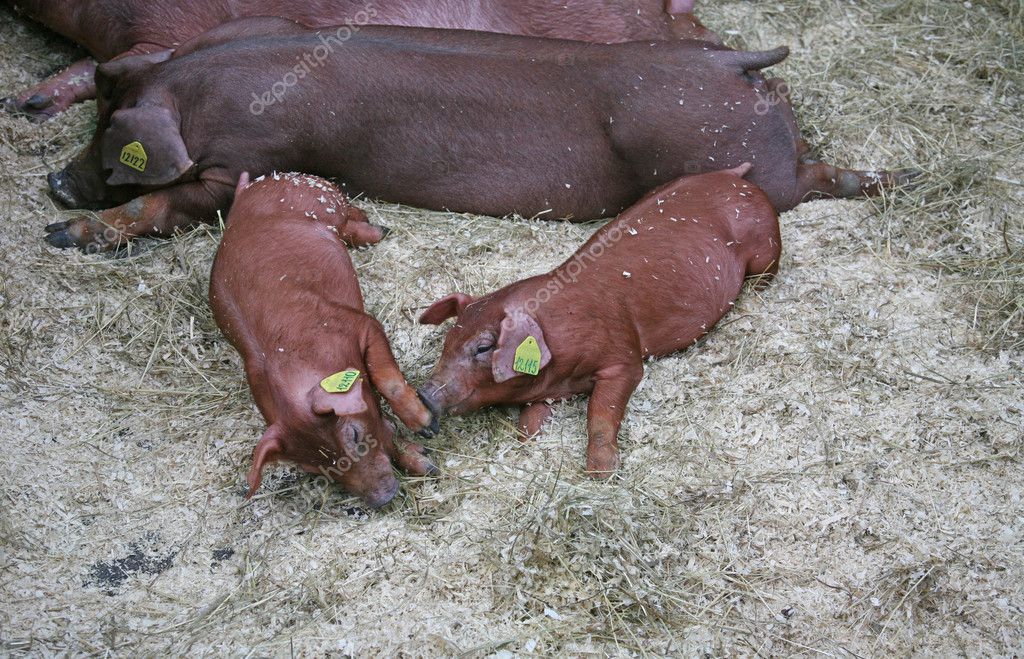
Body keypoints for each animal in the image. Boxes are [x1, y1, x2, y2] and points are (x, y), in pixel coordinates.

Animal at [44, 23, 917, 249]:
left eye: (111, 138)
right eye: (93, 122)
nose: (55, 182)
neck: (197, 91)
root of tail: (739, 59)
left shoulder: (253, 160)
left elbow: (173, 203)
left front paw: (68, 235)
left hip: (717, 157)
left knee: (805, 183)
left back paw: (895, 181)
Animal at [211, 172, 440, 507]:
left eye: (354, 436)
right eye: (314, 468)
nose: (383, 498)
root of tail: (251, 186)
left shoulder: (360, 325)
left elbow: (387, 379)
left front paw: (428, 428)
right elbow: (383, 428)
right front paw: (426, 463)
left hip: (329, 201)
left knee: (351, 215)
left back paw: (380, 229)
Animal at [415, 162, 774, 476]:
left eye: (483, 348)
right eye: (448, 341)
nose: (424, 394)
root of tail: (732, 176)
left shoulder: (622, 355)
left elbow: (601, 412)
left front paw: (601, 473)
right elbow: (529, 423)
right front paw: (529, 441)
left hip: (765, 248)